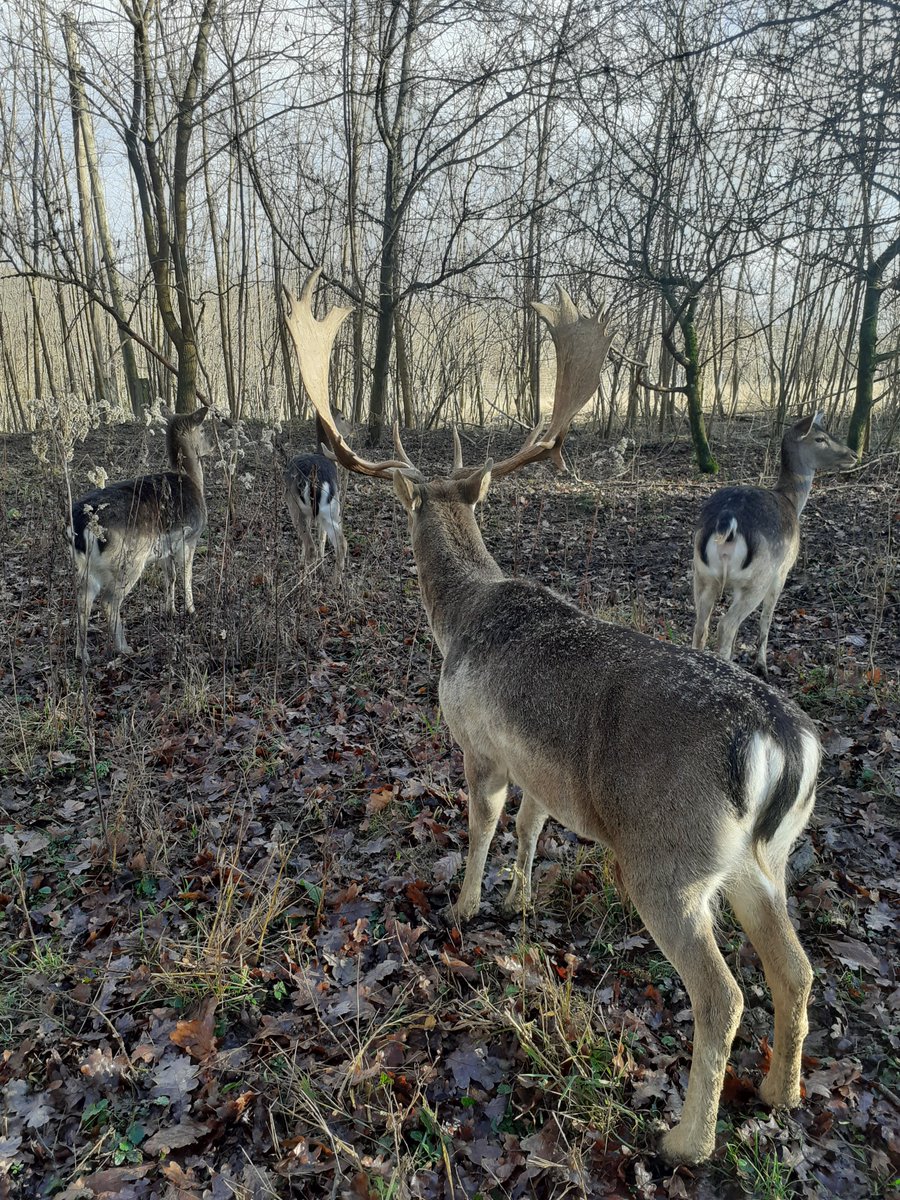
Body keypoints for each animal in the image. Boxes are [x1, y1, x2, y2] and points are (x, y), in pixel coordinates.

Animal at [69, 406, 211, 664]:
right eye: (203, 429)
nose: (212, 446)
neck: (193, 480)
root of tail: (82, 525)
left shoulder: (165, 548)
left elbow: (170, 577)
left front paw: (170, 610)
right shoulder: (190, 537)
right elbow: (186, 575)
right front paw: (190, 610)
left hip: (86, 568)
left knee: (82, 601)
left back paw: (82, 654)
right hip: (129, 561)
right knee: (109, 601)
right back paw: (123, 647)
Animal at [282, 269, 820, 1166]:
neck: (460, 618)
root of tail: (783, 743)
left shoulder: (476, 739)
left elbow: (482, 824)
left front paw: (466, 905)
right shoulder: (543, 768)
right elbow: (533, 827)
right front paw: (524, 899)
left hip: (667, 862)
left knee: (723, 995)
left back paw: (686, 1138)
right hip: (763, 862)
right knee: (798, 970)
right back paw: (782, 1093)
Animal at [692, 412, 857, 678]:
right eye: (820, 439)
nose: (853, 454)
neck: (792, 501)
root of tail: (727, 520)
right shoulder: (782, 572)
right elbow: (766, 620)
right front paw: (762, 665)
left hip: (702, 575)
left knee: (701, 624)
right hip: (758, 577)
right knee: (726, 624)